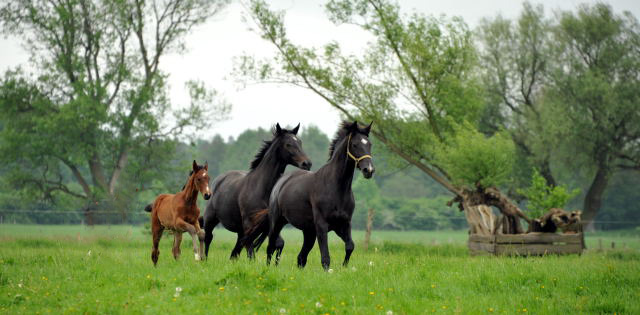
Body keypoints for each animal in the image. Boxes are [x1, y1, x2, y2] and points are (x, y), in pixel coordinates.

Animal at [200, 124, 310, 260]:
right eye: (288, 144)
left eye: (300, 142)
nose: (307, 163)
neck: (262, 189)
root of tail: (218, 180)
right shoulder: (249, 224)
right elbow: (251, 251)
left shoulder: (269, 225)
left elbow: (279, 243)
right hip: (210, 219)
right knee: (208, 238)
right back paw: (204, 260)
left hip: (240, 230)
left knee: (235, 251)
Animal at [246, 122, 376, 270]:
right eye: (355, 144)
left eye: (369, 144)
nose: (369, 170)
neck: (336, 188)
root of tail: (279, 183)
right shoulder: (322, 226)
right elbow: (325, 258)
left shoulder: (344, 224)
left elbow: (350, 246)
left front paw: (344, 266)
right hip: (277, 223)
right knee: (271, 247)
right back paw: (269, 268)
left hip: (308, 232)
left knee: (301, 258)